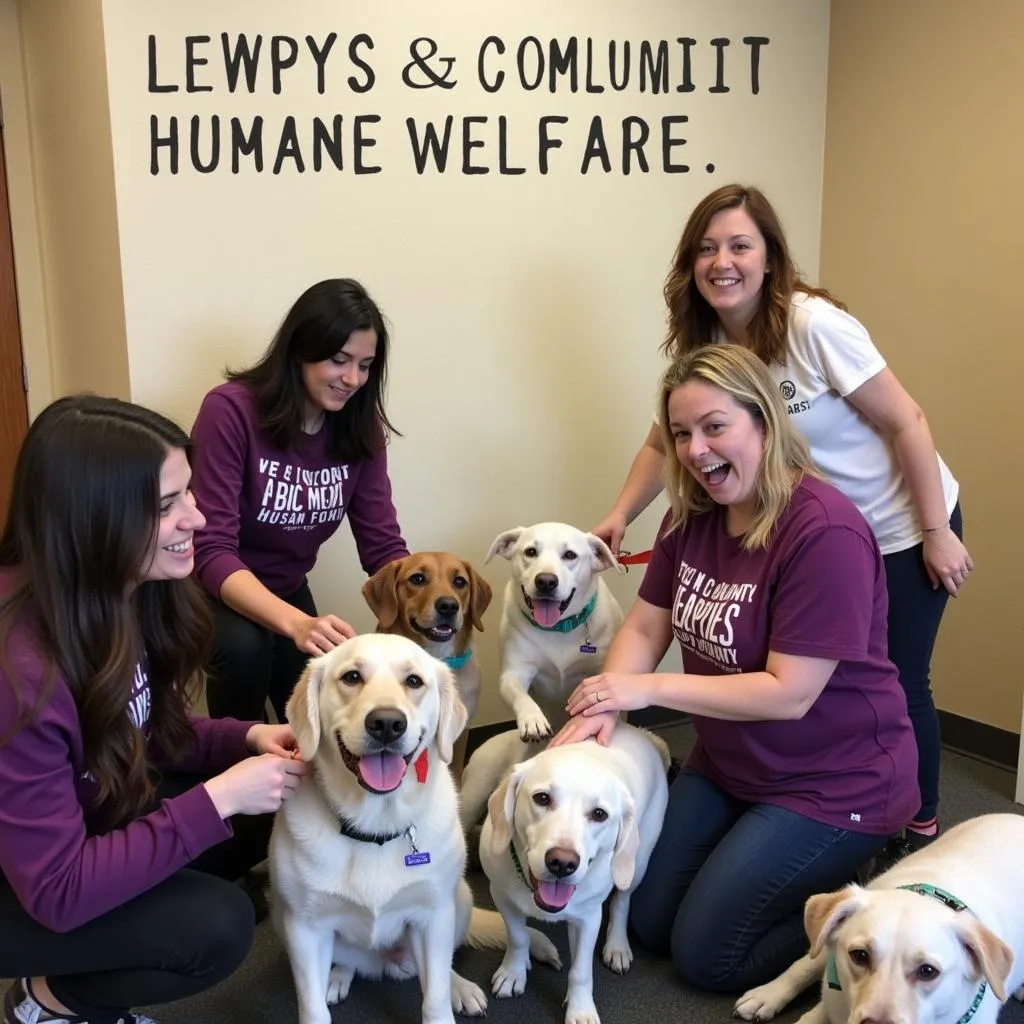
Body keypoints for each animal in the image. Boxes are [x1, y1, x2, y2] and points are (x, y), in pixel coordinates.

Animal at [270, 630, 561, 1024]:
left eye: (413, 681)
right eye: (351, 677)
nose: (387, 723)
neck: (375, 828)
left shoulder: (432, 915)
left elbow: (434, 995)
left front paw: (447, 997)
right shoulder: (303, 928)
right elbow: (312, 1008)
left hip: (458, 901)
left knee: (440, 966)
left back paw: (459, 987)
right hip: (282, 919)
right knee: (347, 962)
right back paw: (338, 977)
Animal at [475, 724, 667, 1024]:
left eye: (599, 814)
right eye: (542, 798)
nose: (562, 863)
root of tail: (642, 731)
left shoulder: (589, 918)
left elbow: (581, 971)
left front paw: (581, 1009)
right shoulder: (502, 897)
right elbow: (517, 937)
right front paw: (513, 972)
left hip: (637, 861)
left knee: (622, 901)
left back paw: (617, 944)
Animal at [481, 524, 618, 749]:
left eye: (570, 555)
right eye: (531, 552)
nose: (546, 581)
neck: (558, 628)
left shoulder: (599, 672)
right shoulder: (514, 673)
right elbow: (519, 694)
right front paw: (532, 719)